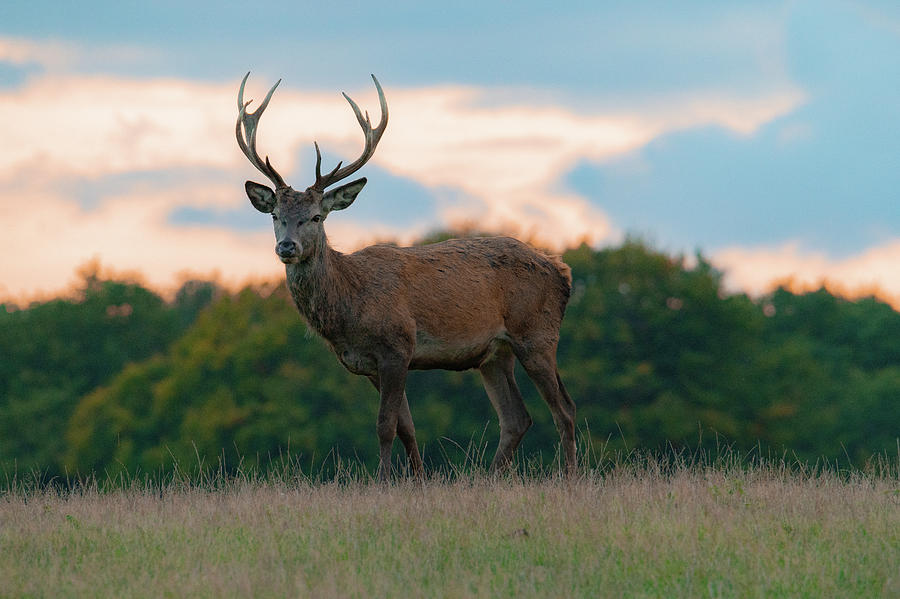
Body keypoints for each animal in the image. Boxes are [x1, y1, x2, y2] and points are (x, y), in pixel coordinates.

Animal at [236, 75, 576, 480]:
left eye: (317, 216)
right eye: (275, 215)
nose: (287, 246)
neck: (350, 307)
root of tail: (562, 271)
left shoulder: (397, 345)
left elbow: (385, 424)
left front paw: (383, 481)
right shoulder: (369, 364)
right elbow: (406, 426)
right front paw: (418, 479)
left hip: (537, 334)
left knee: (564, 409)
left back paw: (572, 476)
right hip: (494, 353)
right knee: (517, 418)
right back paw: (490, 477)